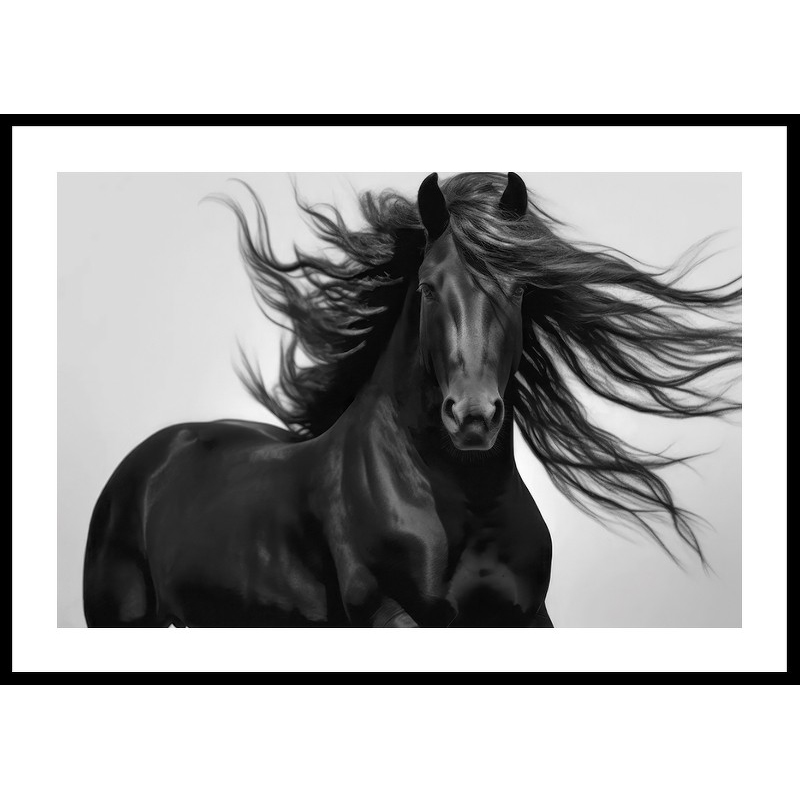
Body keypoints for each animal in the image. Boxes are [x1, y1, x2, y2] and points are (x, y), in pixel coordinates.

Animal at [83, 172, 741, 627]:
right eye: (427, 288)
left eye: (520, 288)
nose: (473, 416)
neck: (467, 506)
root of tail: (153, 455)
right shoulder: (390, 614)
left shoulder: (525, 615)